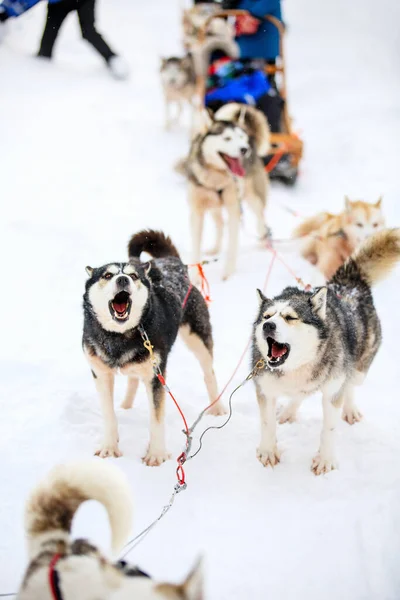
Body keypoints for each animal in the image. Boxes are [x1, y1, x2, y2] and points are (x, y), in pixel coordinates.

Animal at [83, 230, 225, 464]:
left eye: (133, 276)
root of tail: (172, 263)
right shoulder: (100, 374)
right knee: (132, 379)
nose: (122, 279)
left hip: (198, 341)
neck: (119, 337)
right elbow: (109, 415)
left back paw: (218, 407)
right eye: (107, 275)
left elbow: (156, 419)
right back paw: (126, 406)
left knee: (209, 374)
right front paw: (109, 448)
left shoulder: (156, 377)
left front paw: (156, 454)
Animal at [186, 105, 270, 278]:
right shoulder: (197, 211)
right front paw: (195, 278)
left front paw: (228, 275)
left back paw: (263, 240)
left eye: (240, 137)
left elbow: (232, 244)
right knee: (220, 223)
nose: (244, 149)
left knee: (261, 218)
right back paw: (216, 248)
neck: (215, 177)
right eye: (227, 138)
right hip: (213, 207)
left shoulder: (234, 209)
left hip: (253, 198)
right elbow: (196, 248)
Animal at [252, 229, 398, 474]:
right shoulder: (266, 389)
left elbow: (328, 429)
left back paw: (350, 409)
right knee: (300, 396)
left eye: (290, 317)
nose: (268, 326)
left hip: (358, 372)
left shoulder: (332, 392)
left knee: (349, 385)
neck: (298, 366)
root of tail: (348, 284)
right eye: (267, 316)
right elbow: (266, 423)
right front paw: (268, 451)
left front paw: (325, 459)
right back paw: (289, 411)